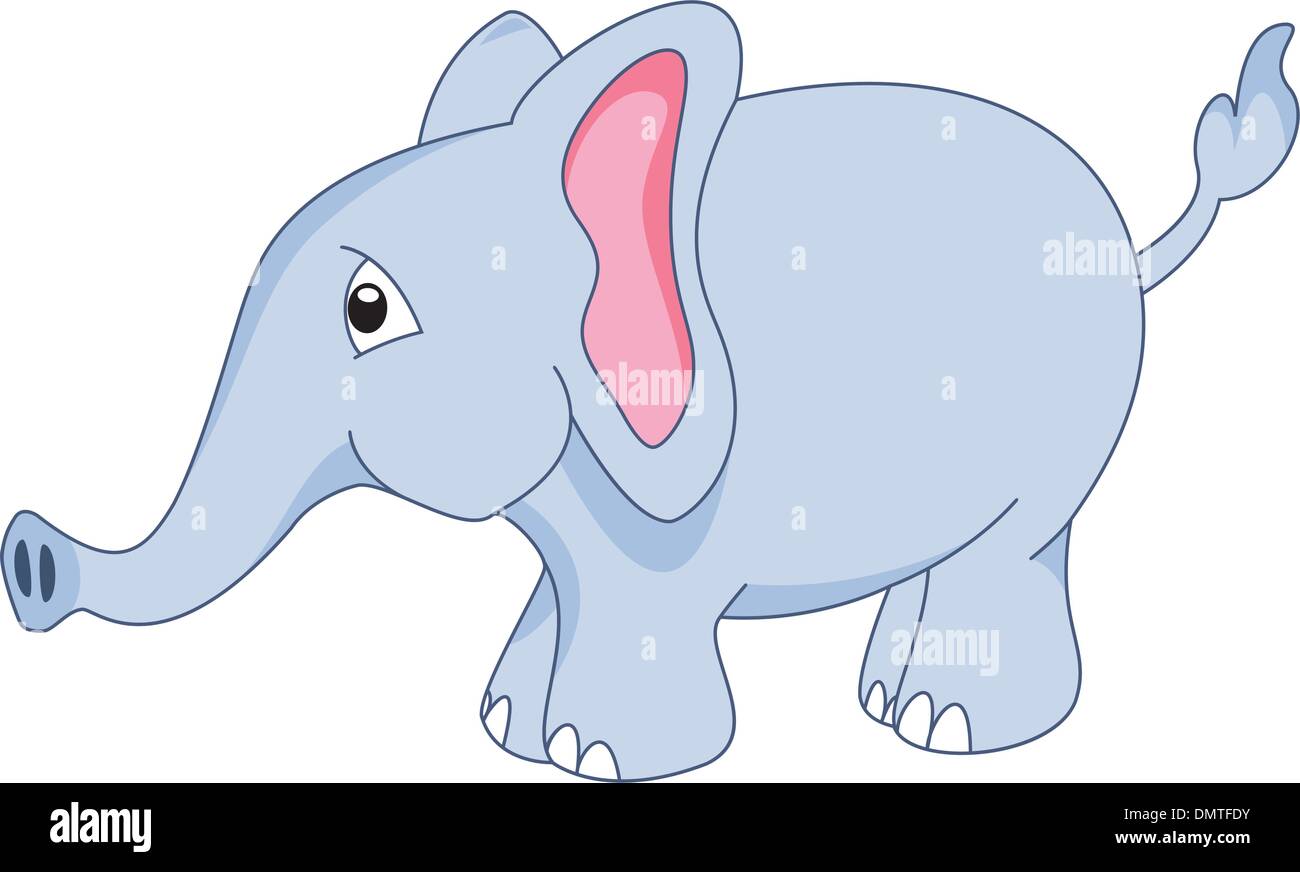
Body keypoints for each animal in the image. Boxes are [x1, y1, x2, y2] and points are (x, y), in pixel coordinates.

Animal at [3, 3, 1297, 781]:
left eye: (369, 310)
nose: (30, 555)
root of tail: (1125, 239)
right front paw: (510, 728)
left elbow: (640, 603)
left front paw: (596, 753)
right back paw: (893, 701)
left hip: (1068, 420)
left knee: (1010, 551)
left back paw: (942, 725)